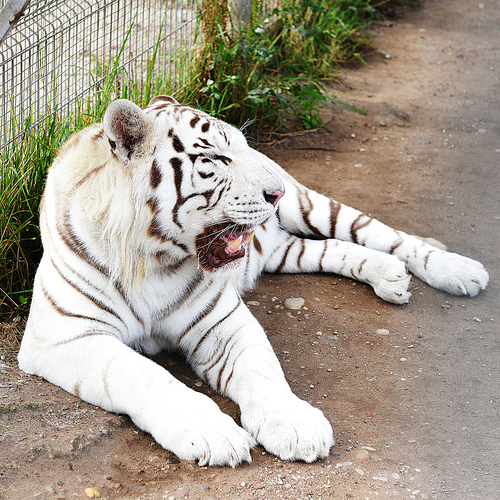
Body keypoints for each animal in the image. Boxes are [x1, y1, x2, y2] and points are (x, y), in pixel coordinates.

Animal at [18, 96, 488, 464]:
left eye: (243, 151)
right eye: (214, 159)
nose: (275, 193)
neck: (153, 259)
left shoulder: (222, 321)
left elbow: (262, 370)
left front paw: (295, 425)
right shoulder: (65, 335)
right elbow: (142, 373)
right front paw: (213, 434)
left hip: (311, 207)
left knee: (380, 232)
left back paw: (458, 270)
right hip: (284, 250)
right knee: (329, 249)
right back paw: (389, 275)